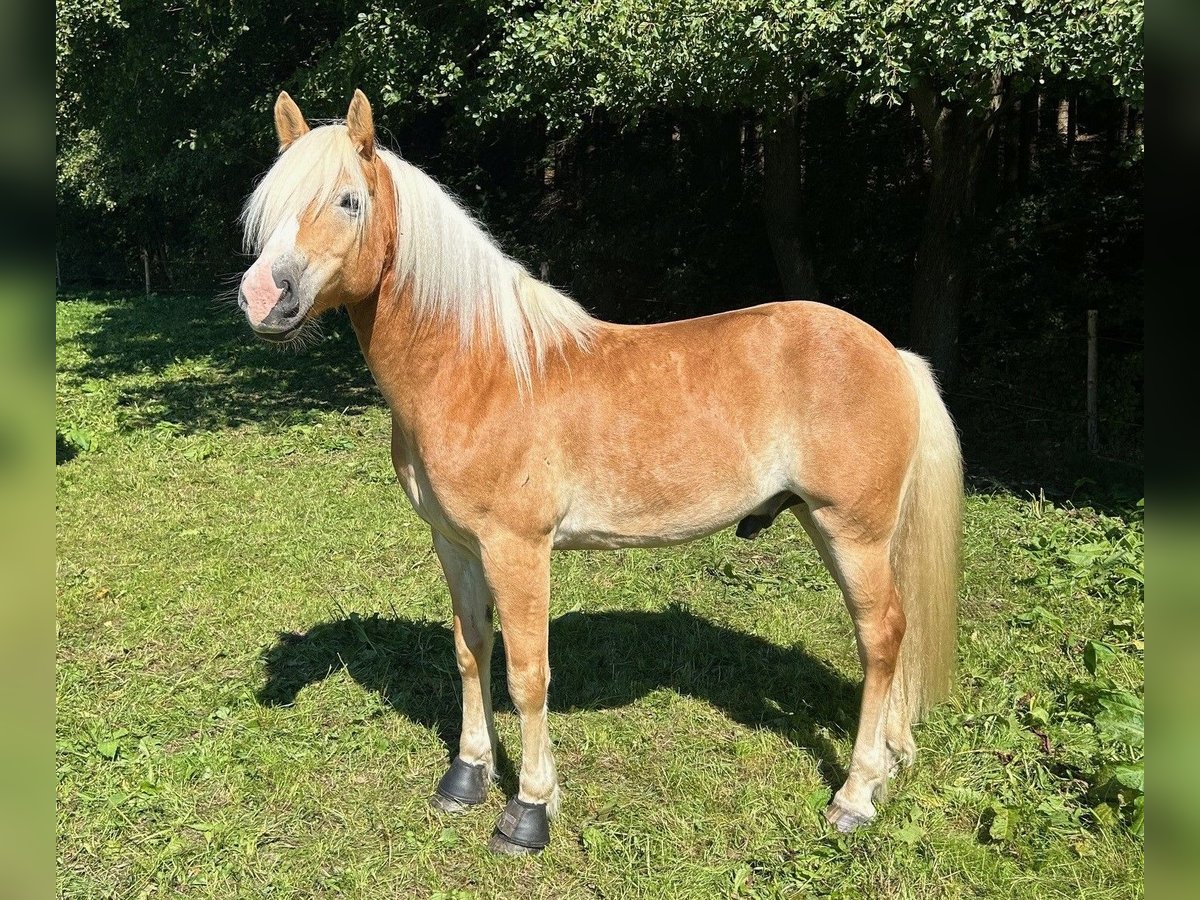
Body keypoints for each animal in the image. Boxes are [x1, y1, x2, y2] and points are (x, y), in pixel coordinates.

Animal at [236, 91, 964, 859]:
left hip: (851, 531)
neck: (480, 368)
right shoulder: (455, 545)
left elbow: (527, 674)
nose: (262, 297)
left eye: (348, 200)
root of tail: (892, 354)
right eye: (269, 203)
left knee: (881, 637)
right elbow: (470, 651)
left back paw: (855, 795)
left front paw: (528, 810)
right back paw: (891, 761)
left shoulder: (518, 550)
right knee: (893, 637)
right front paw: (465, 778)